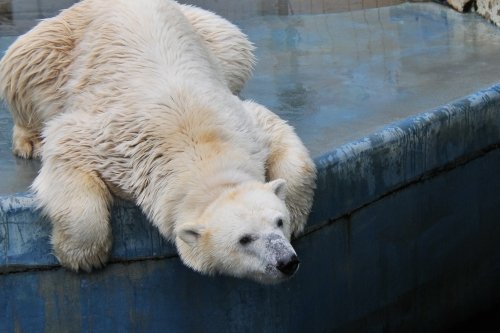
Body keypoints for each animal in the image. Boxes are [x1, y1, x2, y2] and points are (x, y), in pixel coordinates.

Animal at [0, 0, 314, 282]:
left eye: (279, 221)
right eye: (244, 239)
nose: (286, 261)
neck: (199, 146)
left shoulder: (243, 124)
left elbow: (277, 132)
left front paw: (298, 215)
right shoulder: (115, 142)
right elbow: (66, 145)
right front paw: (82, 256)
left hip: (209, 36)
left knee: (234, 45)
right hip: (59, 47)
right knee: (23, 67)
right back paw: (29, 140)